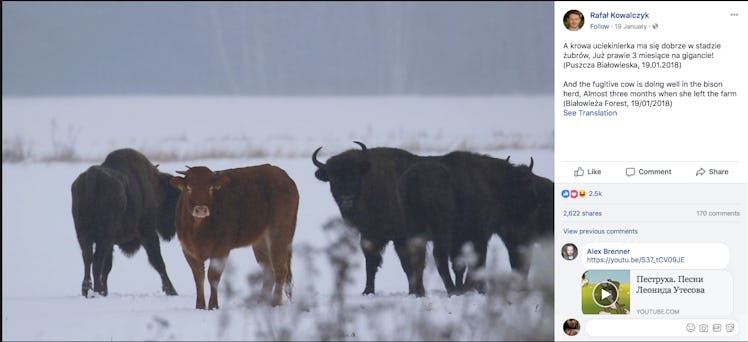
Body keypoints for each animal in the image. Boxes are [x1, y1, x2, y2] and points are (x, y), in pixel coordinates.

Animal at [71, 148, 180, 298]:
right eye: (174, 199)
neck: (155, 187)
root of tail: (91, 179)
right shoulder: (148, 233)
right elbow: (158, 262)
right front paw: (172, 291)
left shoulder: (112, 243)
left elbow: (107, 267)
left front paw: (105, 291)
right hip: (104, 236)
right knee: (96, 260)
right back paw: (96, 290)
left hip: (84, 234)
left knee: (88, 258)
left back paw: (88, 290)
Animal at [169, 164, 298, 308]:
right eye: (189, 188)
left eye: (210, 188)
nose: (201, 209)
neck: (198, 230)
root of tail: (283, 175)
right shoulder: (187, 249)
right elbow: (198, 277)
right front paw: (200, 307)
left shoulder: (221, 248)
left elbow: (213, 276)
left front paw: (213, 306)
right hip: (260, 241)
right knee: (269, 271)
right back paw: (260, 302)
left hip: (280, 233)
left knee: (280, 269)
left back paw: (275, 303)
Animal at [312, 140, 430, 296]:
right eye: (333, 178)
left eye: (355, 174)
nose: (346, 199)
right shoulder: (369, 236)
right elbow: (371, 264)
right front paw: (367, 291)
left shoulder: (403, 238)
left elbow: (411, 265)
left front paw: (417, 292)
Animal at [398, 152, 556, 294]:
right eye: (526, 184)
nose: (535, 203)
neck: (496, 183)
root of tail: (414, 179)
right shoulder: (480, 235)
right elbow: (478, 261)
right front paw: (473, 288)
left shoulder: (460, 240)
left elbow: (460, 265)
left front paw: (465, 287)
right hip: (441, 231)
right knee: (439, 256)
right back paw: (452, 290)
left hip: (416, 231)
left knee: (418, 258)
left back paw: (422, 292)